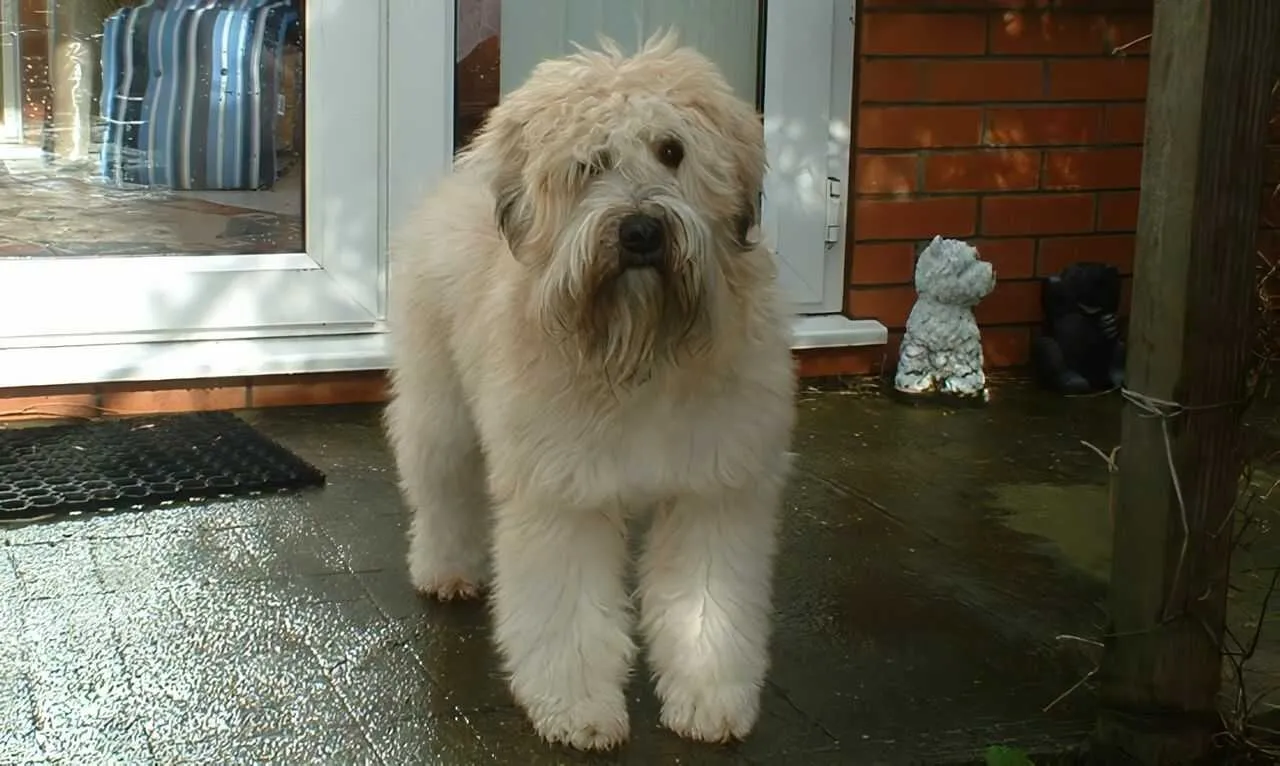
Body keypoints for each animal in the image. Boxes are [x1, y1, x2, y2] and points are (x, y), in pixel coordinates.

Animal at [384, 32, 793, 753]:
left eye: (672, 150)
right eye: (589, 164)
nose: (641, 232)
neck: (640, 350)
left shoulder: (715, 489)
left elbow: (706, 608)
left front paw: (710, 699)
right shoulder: (562, 493)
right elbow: (567, 609)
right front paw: (577, 707)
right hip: (441, 409)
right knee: (441, 490)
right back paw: (445, 569)